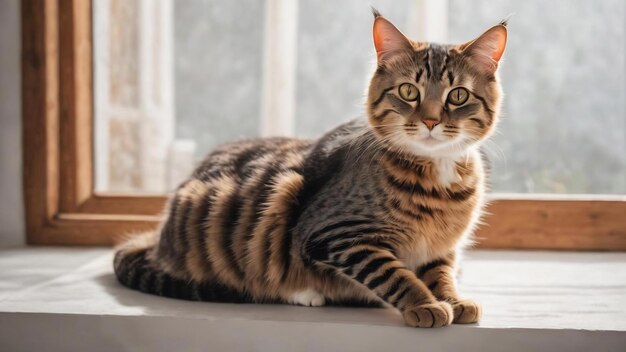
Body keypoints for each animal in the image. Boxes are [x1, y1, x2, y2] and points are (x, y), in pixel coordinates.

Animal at [113, 8, 508, 328]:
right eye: (409, 91)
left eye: (458, 95)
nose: (429, 121)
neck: (436, 175)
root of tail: (159, 237)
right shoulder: (338, 234)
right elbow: (394, 274)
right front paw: (424, 305)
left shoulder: (441, 248)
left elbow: (440, 273)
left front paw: (453, 300)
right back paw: (304, 293)